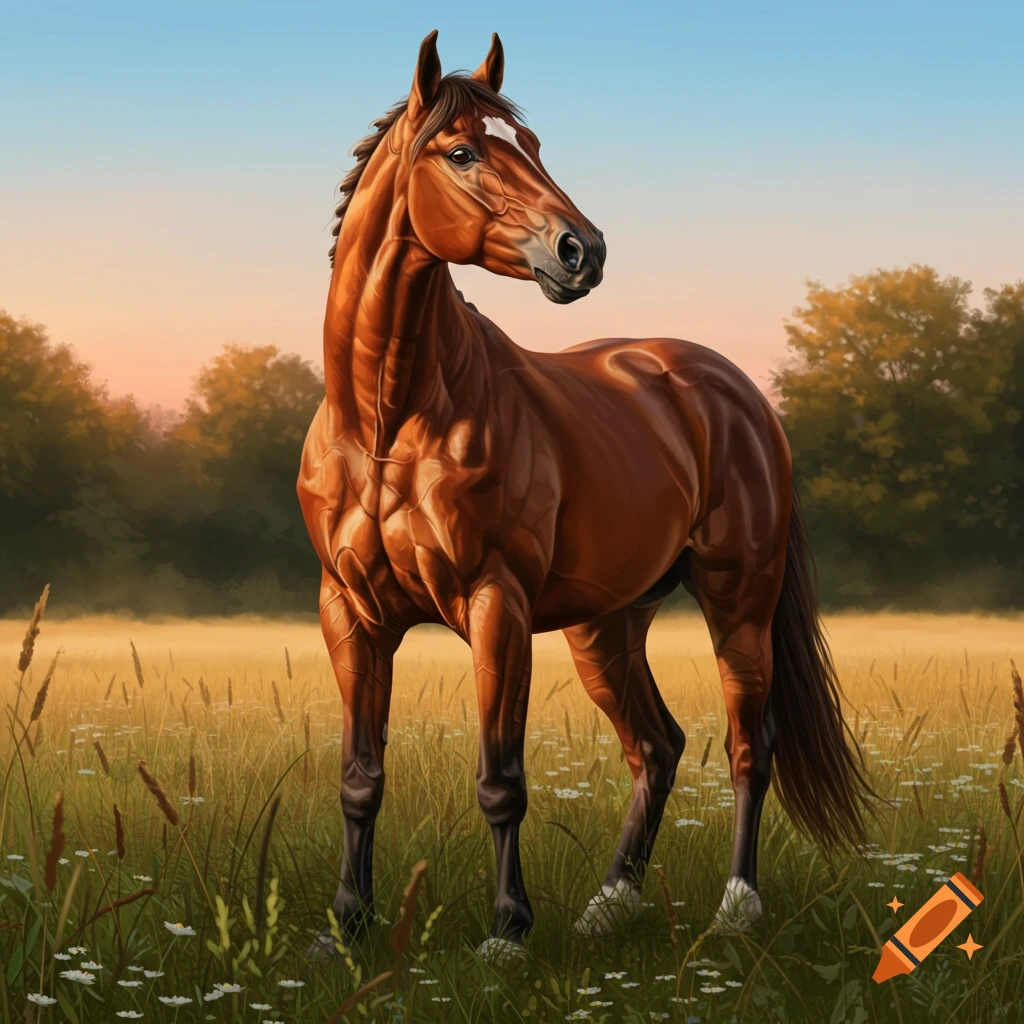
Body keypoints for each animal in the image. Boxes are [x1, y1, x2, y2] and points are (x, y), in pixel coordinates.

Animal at [297, 29, 873, 959]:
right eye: (461, 152)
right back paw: (610, 903)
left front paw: (506, 933)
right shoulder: (350, 615)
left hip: (738, 604)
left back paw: (735, 907)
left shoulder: (495, 607)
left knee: (749, 744)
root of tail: (736, 392)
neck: (389, 420)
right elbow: (360, 777)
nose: (583, 251)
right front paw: (346, 926)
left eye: (532, 145)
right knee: (657, 746)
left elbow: (501, 779)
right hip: (607, 625)